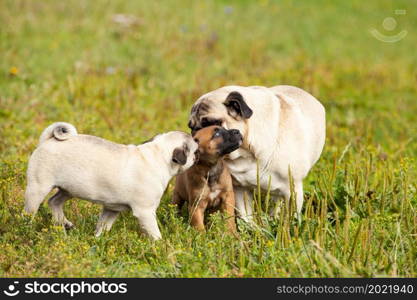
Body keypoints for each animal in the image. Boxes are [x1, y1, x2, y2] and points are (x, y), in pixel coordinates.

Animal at [24, 120, 197, 240]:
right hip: (38, 188)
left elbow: (103, 226)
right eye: (195, 151)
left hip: (69, 189)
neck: (159, 155)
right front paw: (160, 244)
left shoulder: (111, 209)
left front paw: (98, 240)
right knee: (30, 212)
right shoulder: (145, 212)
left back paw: (64, 223)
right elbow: (155, 233)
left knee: (54, 202)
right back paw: (25, 228)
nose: (197, 156)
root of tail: (48, 140)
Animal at [187, 85, 326, 219]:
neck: (247, 152)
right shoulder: (240, 189)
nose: (196, 134)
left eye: (211, 124)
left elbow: (291, 219)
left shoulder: (293, 190)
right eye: (191, 127)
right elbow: (246, 218)